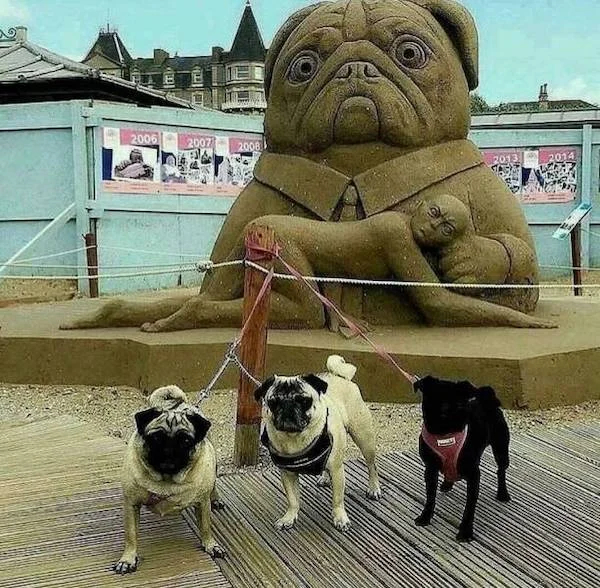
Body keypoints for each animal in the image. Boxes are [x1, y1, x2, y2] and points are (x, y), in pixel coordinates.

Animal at [113, 386, 224, 576]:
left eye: (185, 441)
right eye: (156, 438)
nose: (169, 450)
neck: (166, 480)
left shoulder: (202, 503)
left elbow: (205, 526)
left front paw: (210, 545)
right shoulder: (131, 504)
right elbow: (131, 535)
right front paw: (127, 559)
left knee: (213, 486)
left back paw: (215, 498)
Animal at [256, 354, 380, 532]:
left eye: (304, 400)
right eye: (273, 402)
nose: (287, 406)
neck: (295, 437)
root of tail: (340, 376)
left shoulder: (337, 470)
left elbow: (337, 499)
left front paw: (340, 518)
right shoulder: (288, 474)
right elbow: (293, 500)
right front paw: (289, 517)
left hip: (364, 438)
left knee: (371, 466)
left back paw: (374, 488)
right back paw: (324, 478)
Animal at [414, 376, 508, 544]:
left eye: (459, 402)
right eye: (434, 398)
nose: (447, 408)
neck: (444, 434)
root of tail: (487, 399)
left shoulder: (473, 474)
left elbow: (469, 507)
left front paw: (465, 531)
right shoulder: (430, 469)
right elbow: (430, 497)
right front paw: (425, 517)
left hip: (501, 449)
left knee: (501, 471)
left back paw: (503, 493)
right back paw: (446, 484)